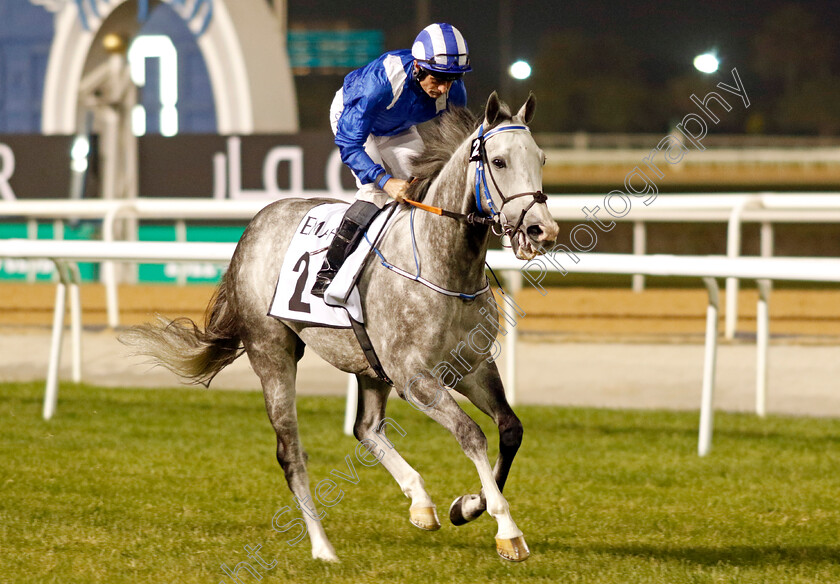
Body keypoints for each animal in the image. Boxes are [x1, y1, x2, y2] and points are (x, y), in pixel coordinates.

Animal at [121, 91, 556, 560]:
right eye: (499, 161)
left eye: (541, 158)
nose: (542, 229)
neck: (442, 264)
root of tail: (252, 228)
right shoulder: (415, 377)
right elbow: (471, 434)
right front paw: (507, 530)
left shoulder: (471, 365)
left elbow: (510, 429)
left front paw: (468, 505)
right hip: (272, 353)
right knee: (291, 452)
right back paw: (322, 547)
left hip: (369, 366)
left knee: (365, 428)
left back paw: (420, 502)